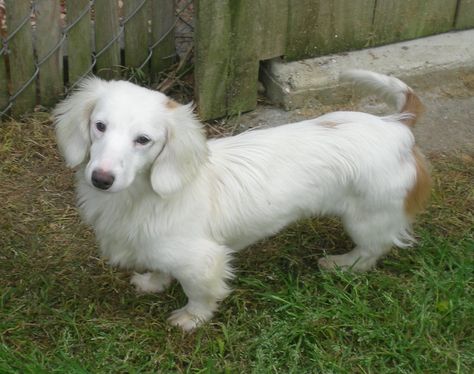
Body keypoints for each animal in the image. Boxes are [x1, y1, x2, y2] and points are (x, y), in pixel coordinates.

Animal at [54, 70, 430, 330]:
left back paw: (342, 265)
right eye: (100, 126)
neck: (141, 198)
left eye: (143, 140)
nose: (101, 179)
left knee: (371, 251)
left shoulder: (202, 261)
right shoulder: (157, 249)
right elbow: (160, 269)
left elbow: (200, 293)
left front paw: (190, 319)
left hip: (367, 219)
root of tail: (397, 125)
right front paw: (151, 283)